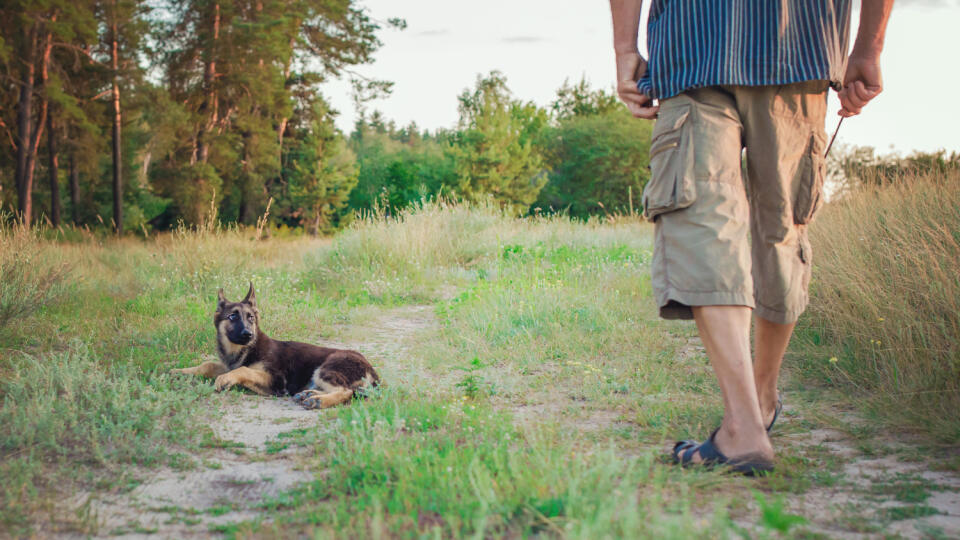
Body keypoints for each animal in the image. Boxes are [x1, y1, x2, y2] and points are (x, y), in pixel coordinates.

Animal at [171, 284, 380, 408]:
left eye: (251, 318)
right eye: (232, 317)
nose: (248, 334)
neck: (245, 350)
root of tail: (371, 369)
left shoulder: (277, 380)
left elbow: (244, 370)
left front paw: (226, 378)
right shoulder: (227, 364)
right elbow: (207, 365)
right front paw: (180, 372)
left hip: (326, 367)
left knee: (347, 391)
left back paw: (318, 400)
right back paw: (309, 394)